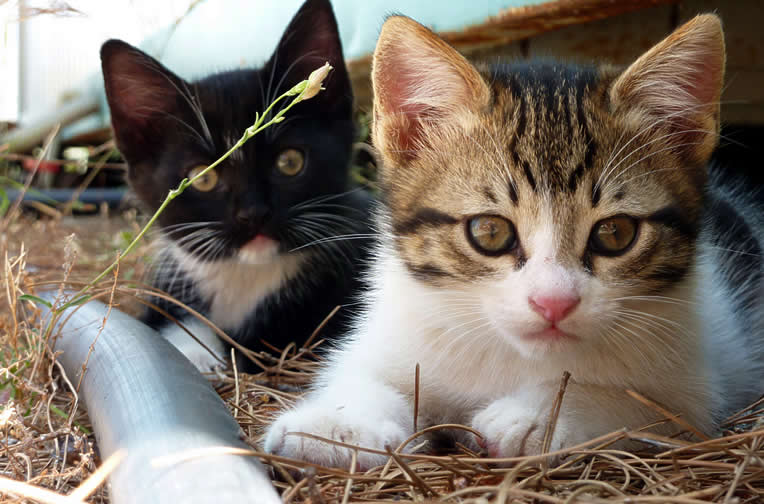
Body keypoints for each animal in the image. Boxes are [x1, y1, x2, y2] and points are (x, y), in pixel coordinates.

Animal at [264, 13, 764, 468]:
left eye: (615, 234)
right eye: (490, 232)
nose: (553, 303)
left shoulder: (694, 387)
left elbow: (647, 404)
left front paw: (541, 416)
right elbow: (361, 372)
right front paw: (335, 424)